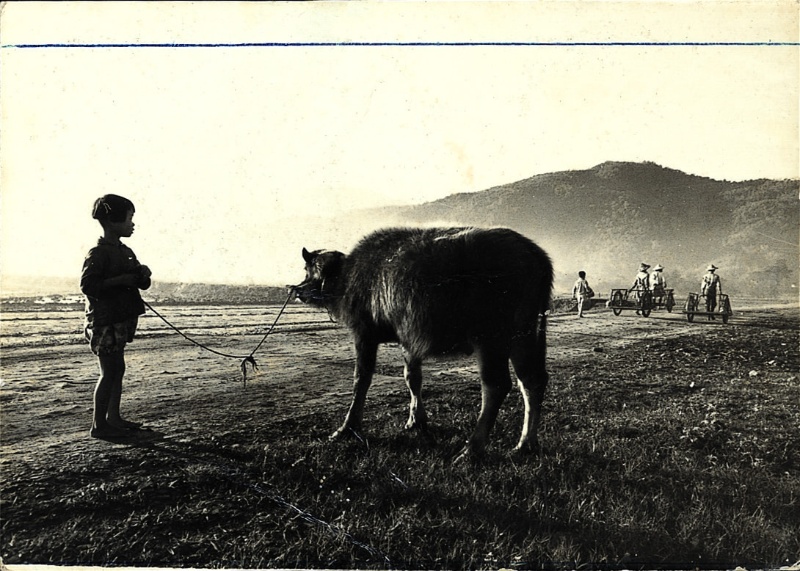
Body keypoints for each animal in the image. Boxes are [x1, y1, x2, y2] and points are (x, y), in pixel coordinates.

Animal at [290, 226, 552, 458]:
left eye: (307, 269)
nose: (297, 289)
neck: (347, 276)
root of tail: (535, 254)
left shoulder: (364, 334)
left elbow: (361, 379)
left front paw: (347, 428)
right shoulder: (409, 341)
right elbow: (412, 377)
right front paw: (416, 420)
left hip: (490, 338)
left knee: (496, 385)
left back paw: (472, 449)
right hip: (525, 334)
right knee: (531, 380)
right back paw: (525, 444)